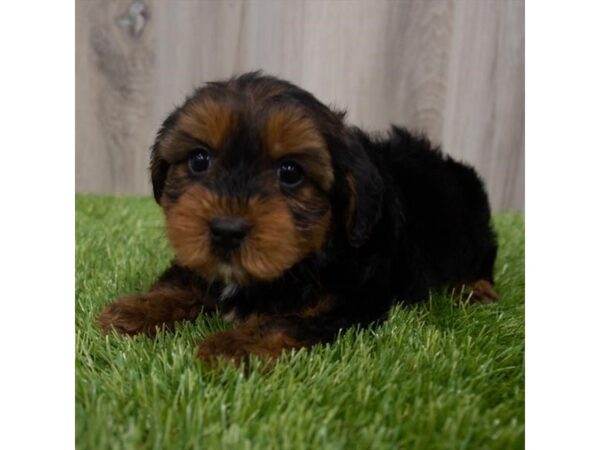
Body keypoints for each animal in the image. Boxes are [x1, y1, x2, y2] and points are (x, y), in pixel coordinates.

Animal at [98, 71, 500, 366]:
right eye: (199, 160)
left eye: (290, 172)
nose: (227, 230)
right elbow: (184, 279)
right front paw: (136, 310)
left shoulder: (351, 296)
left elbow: (286, 320)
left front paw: (231, 346)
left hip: (473, 230)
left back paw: (476, 289)